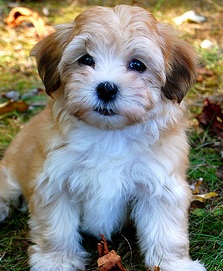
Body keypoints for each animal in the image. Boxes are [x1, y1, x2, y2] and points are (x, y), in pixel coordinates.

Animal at [0, 4, 206, 271]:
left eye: (137, 65)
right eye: (86, 59)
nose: (106, 88)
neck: (109, 134)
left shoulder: (159, 184)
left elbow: (165, 232)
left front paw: (174, 264)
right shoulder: (55, 181)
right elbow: (56, 228)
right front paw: (56, 260)